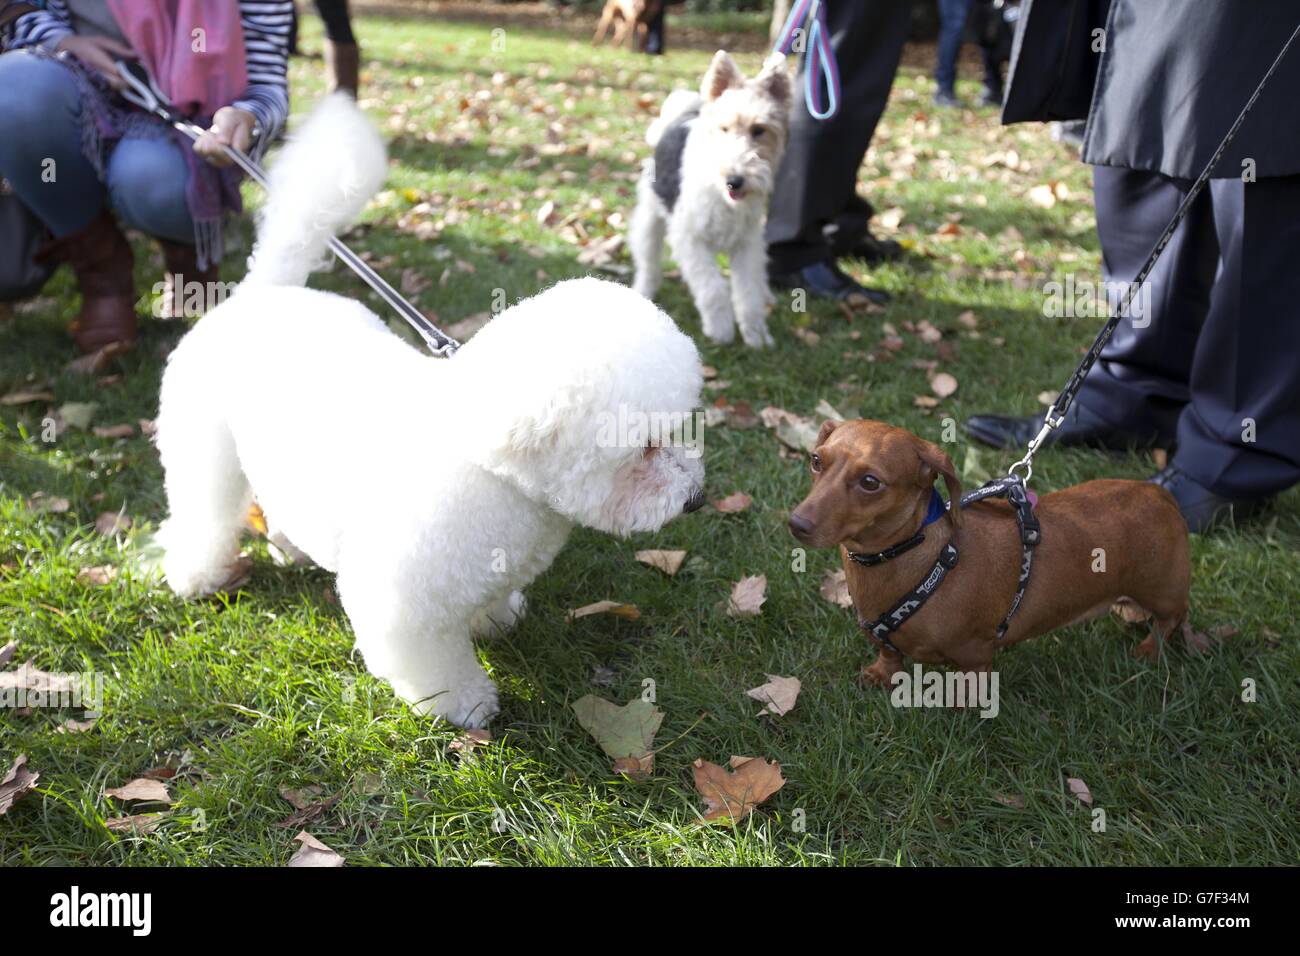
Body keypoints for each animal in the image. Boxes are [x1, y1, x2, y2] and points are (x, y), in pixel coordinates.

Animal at [156, 95, 707, 723]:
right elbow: (435, 664)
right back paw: (197, 573)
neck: (494, 472)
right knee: (205, 510)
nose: (696, 498)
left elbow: (489, 600)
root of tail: (263, 290)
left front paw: (496, 619)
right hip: (203, 446)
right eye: (641, 450)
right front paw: (467, 707)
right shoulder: (401, 602)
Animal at [629, 50, 790, 348]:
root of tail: (684, 114)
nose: (735, 180)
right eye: (724, 128)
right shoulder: (690, 239)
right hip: (650, 217)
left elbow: (748, 293)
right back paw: (643, 291)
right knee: (648, 261)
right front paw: (721, 330)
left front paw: (756, 334)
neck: (723, 198)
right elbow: (713, 288)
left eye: (759, 129)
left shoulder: (747, 245)